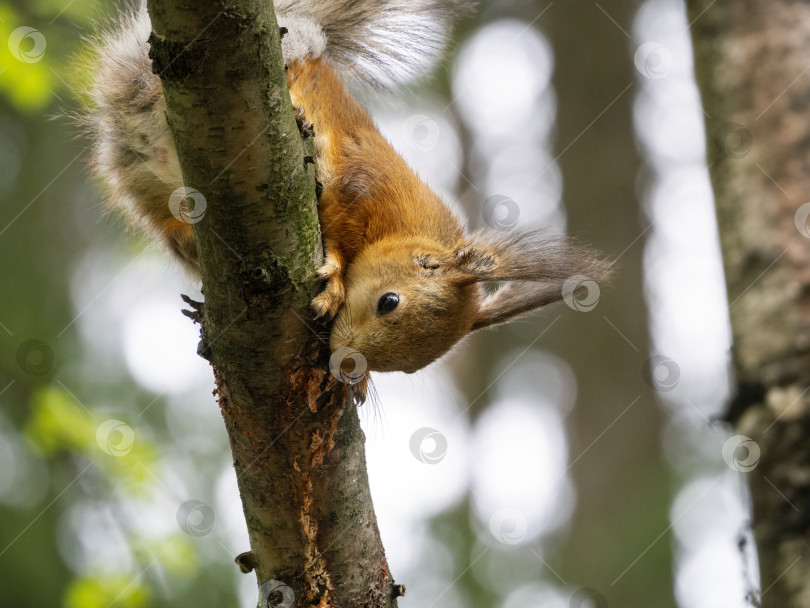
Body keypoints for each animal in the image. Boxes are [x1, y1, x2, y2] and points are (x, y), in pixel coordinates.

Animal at [85, 2, 608, 384]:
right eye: (389, 302)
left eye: (409, 368)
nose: (347, 367)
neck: (404, 229)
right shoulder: (361, 187)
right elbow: (336, 230)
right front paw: (334, 279)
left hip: (147, 192)